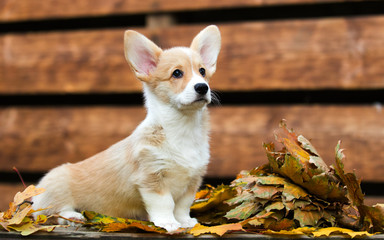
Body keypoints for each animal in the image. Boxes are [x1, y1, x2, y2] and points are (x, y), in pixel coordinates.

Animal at [32, 25, 222, 232]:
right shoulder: (151, 178)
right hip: (56, 188)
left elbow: (182, 205)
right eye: (177, 73)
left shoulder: (193, 180)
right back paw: (72, 216)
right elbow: (165, 204)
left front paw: (185, 222)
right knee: (51, 213)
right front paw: (168, 223)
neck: (182, 128)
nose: (202, 87)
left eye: (202, 71)